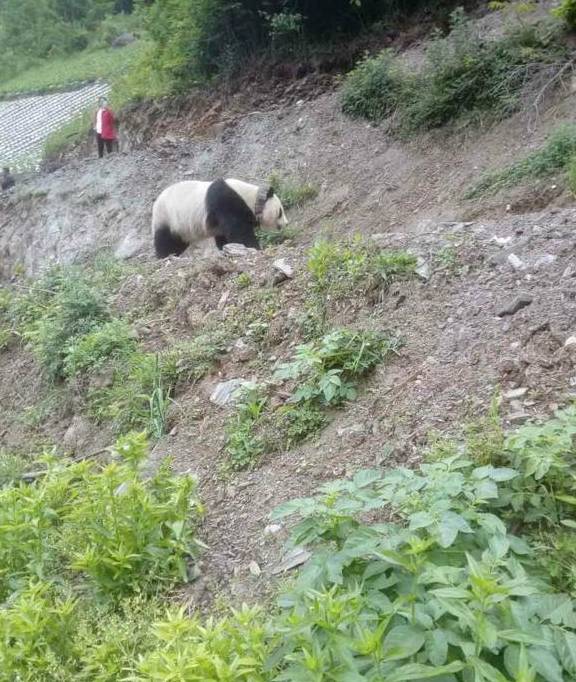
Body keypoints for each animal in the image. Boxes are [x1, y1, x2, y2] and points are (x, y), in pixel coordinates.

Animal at [152, 178, 288, 258]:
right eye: (280, 212)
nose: (286, 224)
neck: (252, 197)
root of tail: (155, 204)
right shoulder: (226, 202)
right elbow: (239, 231)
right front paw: (254, 247)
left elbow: (224, 237)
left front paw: (227, 248)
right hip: (167, 217)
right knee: (166, 240)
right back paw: (165, 255)